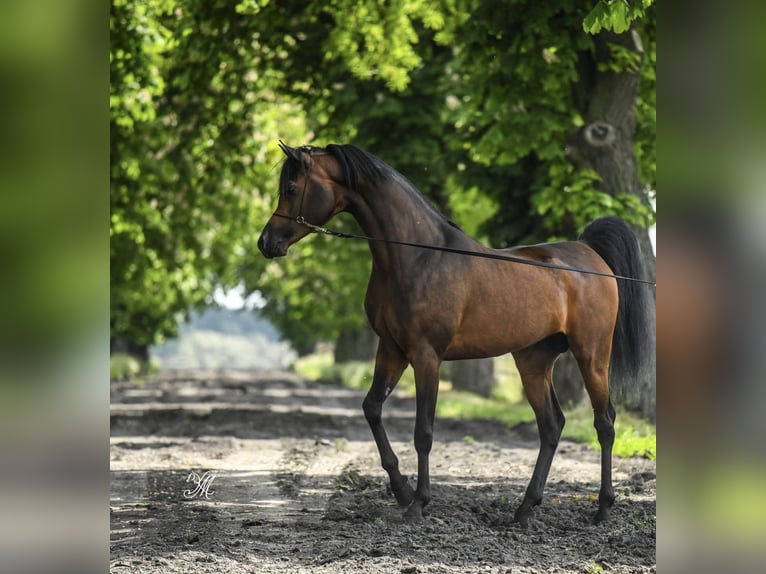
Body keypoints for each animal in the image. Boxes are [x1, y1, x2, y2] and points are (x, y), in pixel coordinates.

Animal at [257, 142, 653, 524]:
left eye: (291, 187)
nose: (266, 242)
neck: (418, 258)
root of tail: (588, 251)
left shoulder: (426, 355)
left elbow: (423, 432)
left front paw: (418, 504)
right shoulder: (391, 349)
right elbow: (371, 408)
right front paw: (401, 490)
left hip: (592, 355)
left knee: (605, 423)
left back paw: (602, 509)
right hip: (533, 360)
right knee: (551, 426)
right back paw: (524, 510)